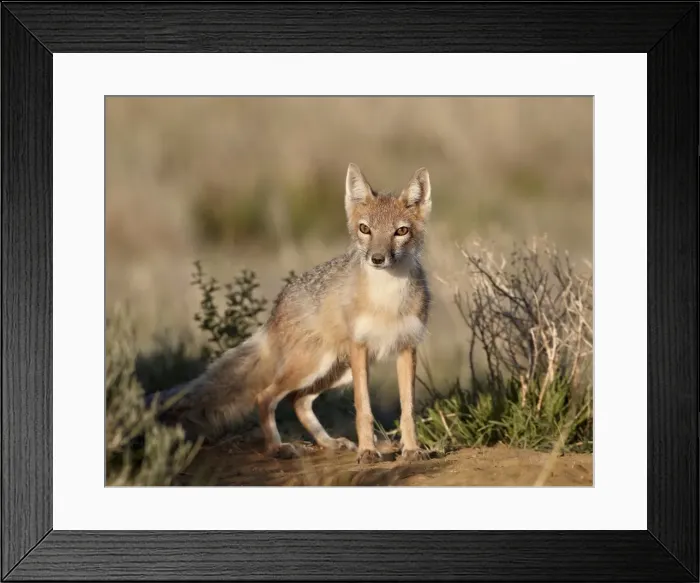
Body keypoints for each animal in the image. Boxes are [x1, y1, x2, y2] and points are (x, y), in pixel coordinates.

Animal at [151, 163, 433, 464]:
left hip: (336, 371)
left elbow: (407, 410)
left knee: (299, 401)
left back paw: (329, 442)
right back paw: (277, 447)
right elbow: (364, 409)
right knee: (265, 397)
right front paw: (368, 451)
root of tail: (277, 307)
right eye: (365, 229)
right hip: (315, 366)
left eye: (401, 231)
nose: (377, 258)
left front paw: (411, 449)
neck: (388, 301)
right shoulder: (360, 348)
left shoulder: (407, 347)